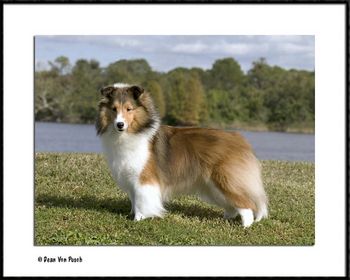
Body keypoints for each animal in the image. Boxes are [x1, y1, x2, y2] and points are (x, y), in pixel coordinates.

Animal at [95, 83, 268, 228]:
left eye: (129, 109)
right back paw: (226, 218)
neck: (133, 132)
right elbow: (134, 199)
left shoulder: (144, 179)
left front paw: (139, 219)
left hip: (226, 179)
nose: (120, 124)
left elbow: (141, 201)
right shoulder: (131, 177)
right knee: (232, 204)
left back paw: (245, 225)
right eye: (114, 109)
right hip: (212, 185)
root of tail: (240, 139)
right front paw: (131, 215)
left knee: (246, 205)